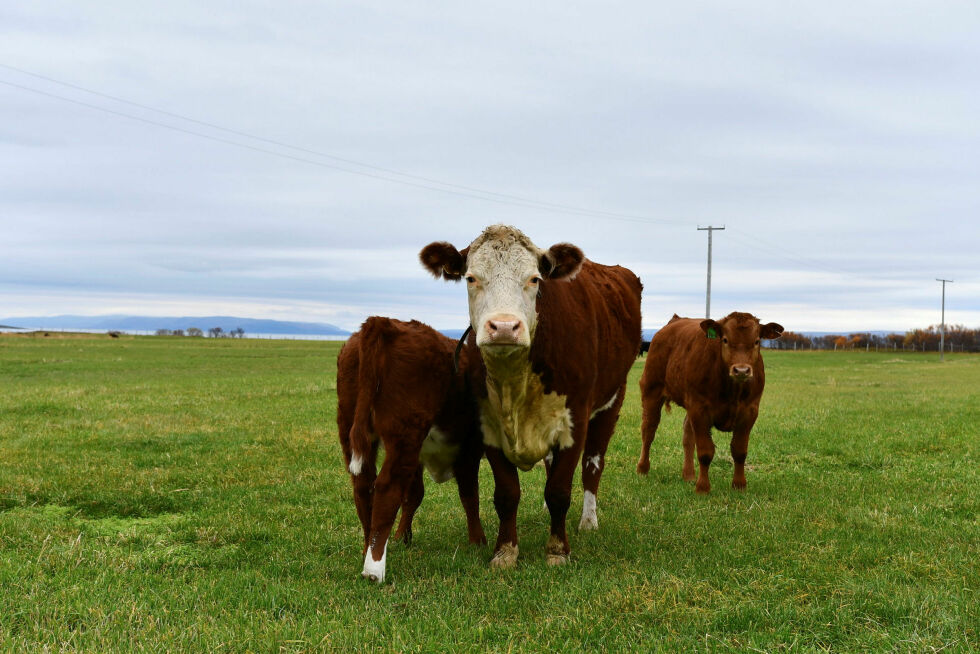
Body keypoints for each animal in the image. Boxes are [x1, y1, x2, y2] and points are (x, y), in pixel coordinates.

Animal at [336, 318, 486, 584]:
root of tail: (383, 323)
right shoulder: (469, 449)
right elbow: (470, 495)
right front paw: (478, 541)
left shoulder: (419, 456)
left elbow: (414, 495)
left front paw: (401, 537)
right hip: (405, 435)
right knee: (387, 488)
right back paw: (374, 568)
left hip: (353, 426)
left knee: (363, 487)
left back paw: (366, 550)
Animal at [420, 226, 644, 568]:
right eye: (471, 278)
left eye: (534, 279)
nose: (503, 327)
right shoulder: (489, 424)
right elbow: (508, 493)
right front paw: (505, 551)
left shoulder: (575, 419)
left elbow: (560, 490)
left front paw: (558, 550)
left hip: (612, 400)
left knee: (593, 464)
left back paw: (588, 520)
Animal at [636, 312, 788, 492]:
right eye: (725, 340)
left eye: (757, 341)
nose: (741, 370)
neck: (732, 391)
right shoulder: (699, 409)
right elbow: (705, 451)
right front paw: (703, 487)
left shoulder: (750, 411)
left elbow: (740, 450)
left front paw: (739, 485)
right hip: (651, 390)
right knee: (649, 430)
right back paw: (642, 469)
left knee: (687, 434)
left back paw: (689, 475)